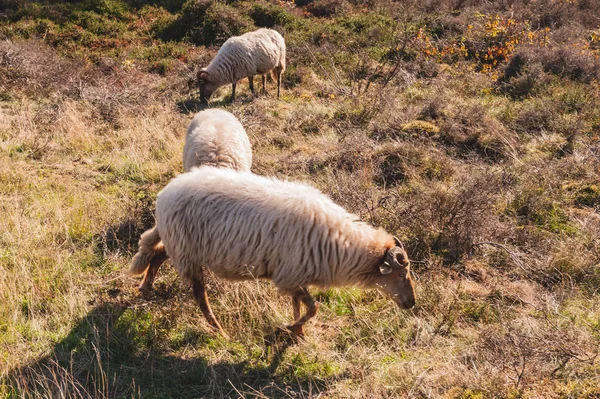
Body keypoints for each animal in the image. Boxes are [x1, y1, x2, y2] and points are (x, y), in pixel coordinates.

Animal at [129, 166, 414, 338]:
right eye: (401, 275)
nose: (412, 304)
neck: (340, 244)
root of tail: (165, 193)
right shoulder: (290, 275)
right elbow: (313, 308)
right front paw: (288, 328)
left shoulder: (294, 275)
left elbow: (300, 304)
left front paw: (298, 333)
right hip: (187, 252)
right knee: (200, 295)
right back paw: (219, 330)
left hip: (181, 246)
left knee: (157, 253)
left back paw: (146, 287)